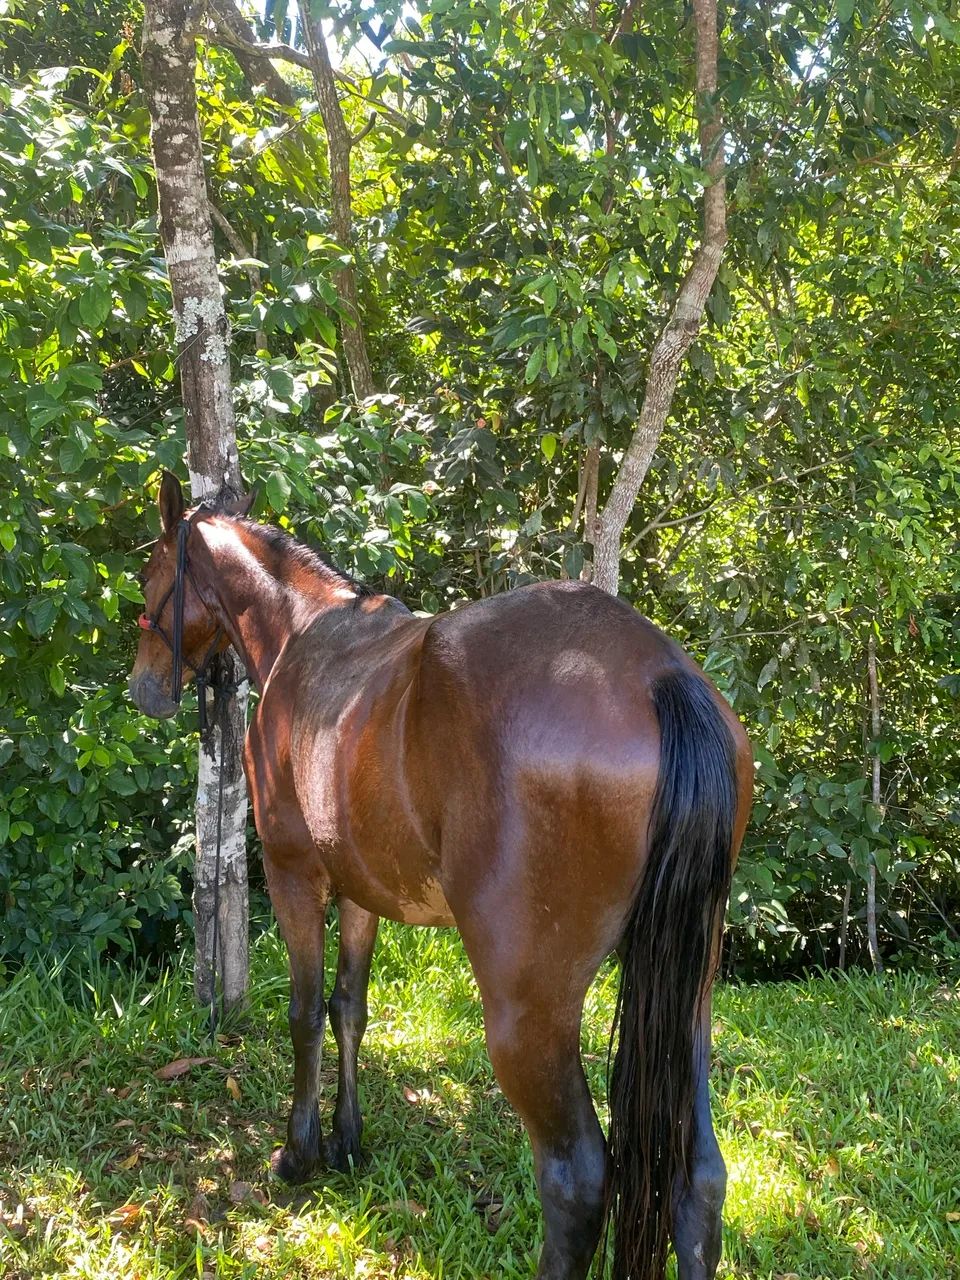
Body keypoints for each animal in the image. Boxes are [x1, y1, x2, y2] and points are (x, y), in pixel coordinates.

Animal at [129, 472, 753, 1280]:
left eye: (149, 575)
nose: (144, 688)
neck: (306, 635)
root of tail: (659, 673)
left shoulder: (295, 873)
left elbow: (304, 1013)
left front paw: (300, 1153)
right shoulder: (360, 889)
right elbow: (349, 1007)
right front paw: (347, 1141)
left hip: (527, 1016)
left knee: (577, 1180)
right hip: (688, 997)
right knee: (698, 1176)